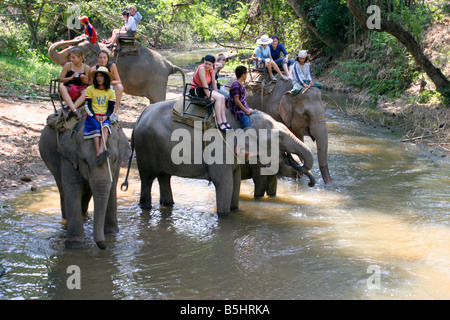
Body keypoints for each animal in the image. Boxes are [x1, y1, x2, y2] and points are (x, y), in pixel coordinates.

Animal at [39, 114, 131, 249]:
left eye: (114, 160)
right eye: (84, 161)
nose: (104, 246)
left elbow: (111, 187)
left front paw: (112, 233)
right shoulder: (69, 158)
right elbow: (72, 188)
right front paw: (75, 245)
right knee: (62, 189)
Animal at [121, 100, 314, 215]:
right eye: (279, 137)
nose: (310, 184)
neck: (242, 118)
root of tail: (139, 118)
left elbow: (235, 181)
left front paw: (235, 211)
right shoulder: (220, 148)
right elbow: (225, 182)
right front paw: (224, 216)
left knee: (164, 177)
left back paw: (168, 205)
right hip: (146, 147)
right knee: (148, 178)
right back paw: (146, 207)